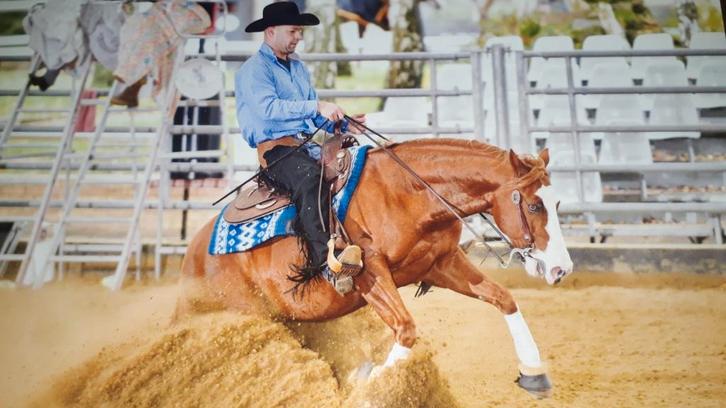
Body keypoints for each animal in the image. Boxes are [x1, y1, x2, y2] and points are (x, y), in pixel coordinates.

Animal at [175, 138, 573, 398]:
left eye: (556, 203)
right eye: (535, 205)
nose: (561, 269)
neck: (407, 192)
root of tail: (193, 255)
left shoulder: (442, 263)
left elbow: (504, 299)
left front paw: (533, 372)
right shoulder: (370, 274)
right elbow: (406, 330)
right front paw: (371, 384)